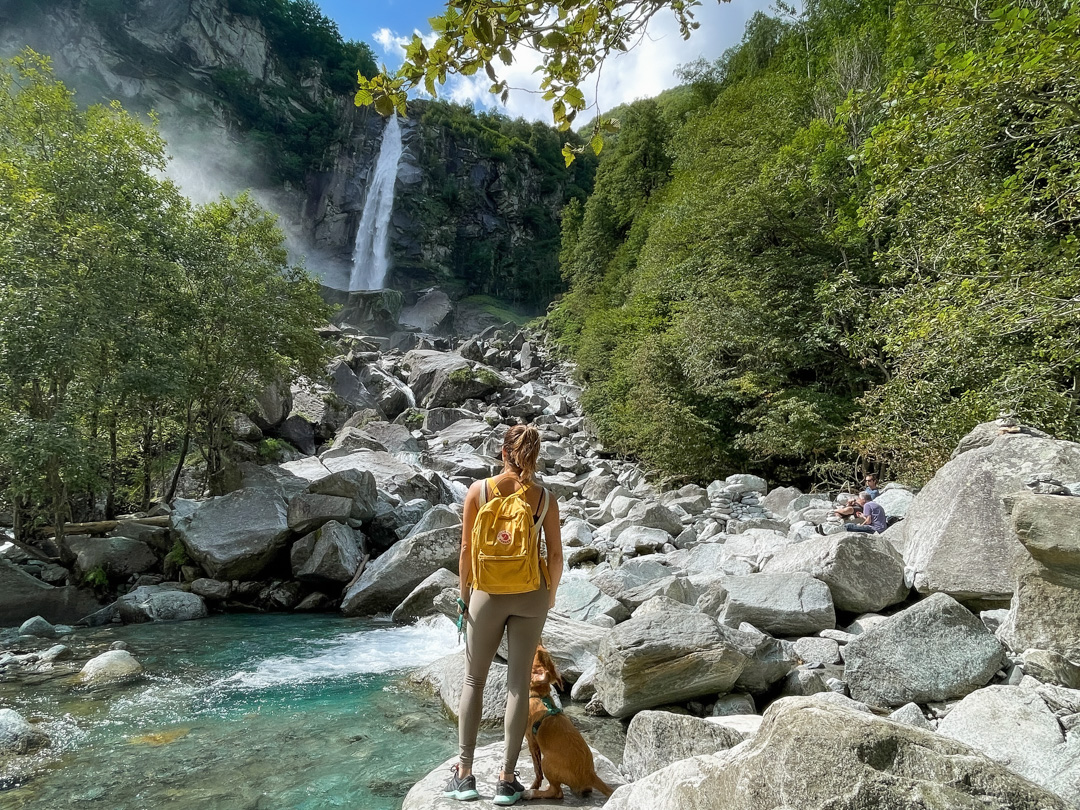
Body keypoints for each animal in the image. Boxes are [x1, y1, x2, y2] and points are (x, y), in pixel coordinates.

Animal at [524, 643, 617, 803]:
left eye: (537, 652)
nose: (538, 640)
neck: (538, 696)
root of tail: (590, 775)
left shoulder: (531, 741)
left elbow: (537, 770)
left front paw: (533, 786)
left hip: (547, 762)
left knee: (557, 792)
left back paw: (532, 793)